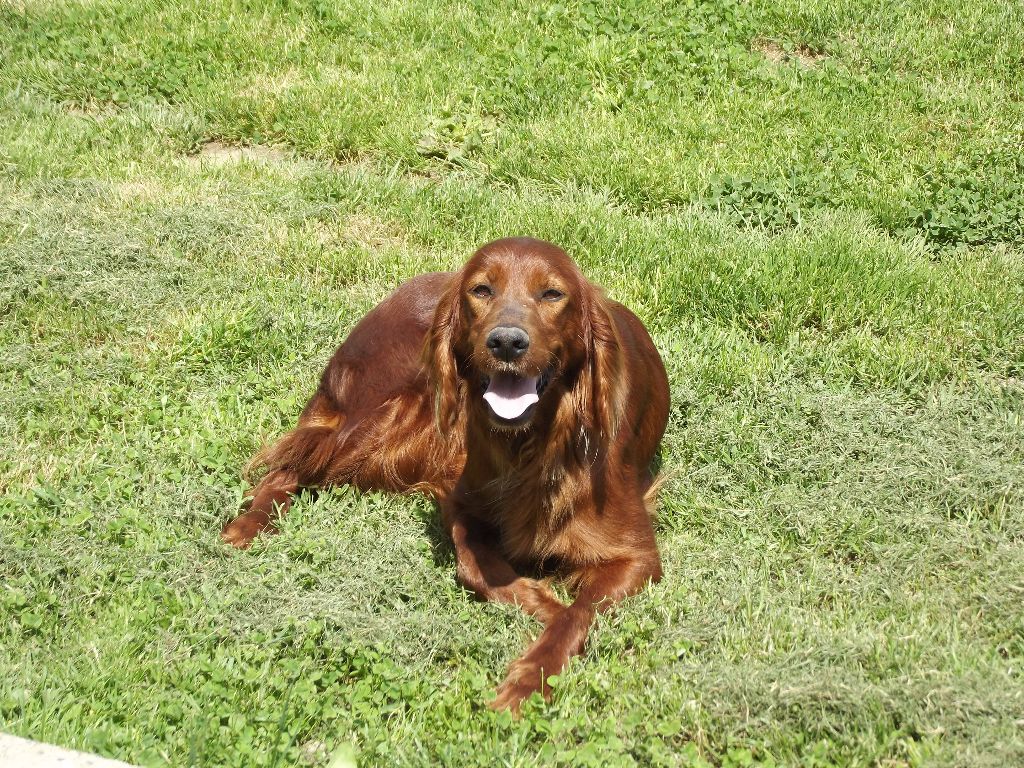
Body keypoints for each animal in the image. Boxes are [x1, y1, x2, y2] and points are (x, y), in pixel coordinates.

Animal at [222, 237, 671, 712]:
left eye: (552, 294)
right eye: (481, 290)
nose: (506, 342)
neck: (530, 445)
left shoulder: (636, 557)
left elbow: (577, 612)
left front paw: (531, 675)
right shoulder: (459, 498)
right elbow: (474, 567)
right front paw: (541, 600)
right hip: (390, 423)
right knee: (286, 464)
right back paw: (248, 526)